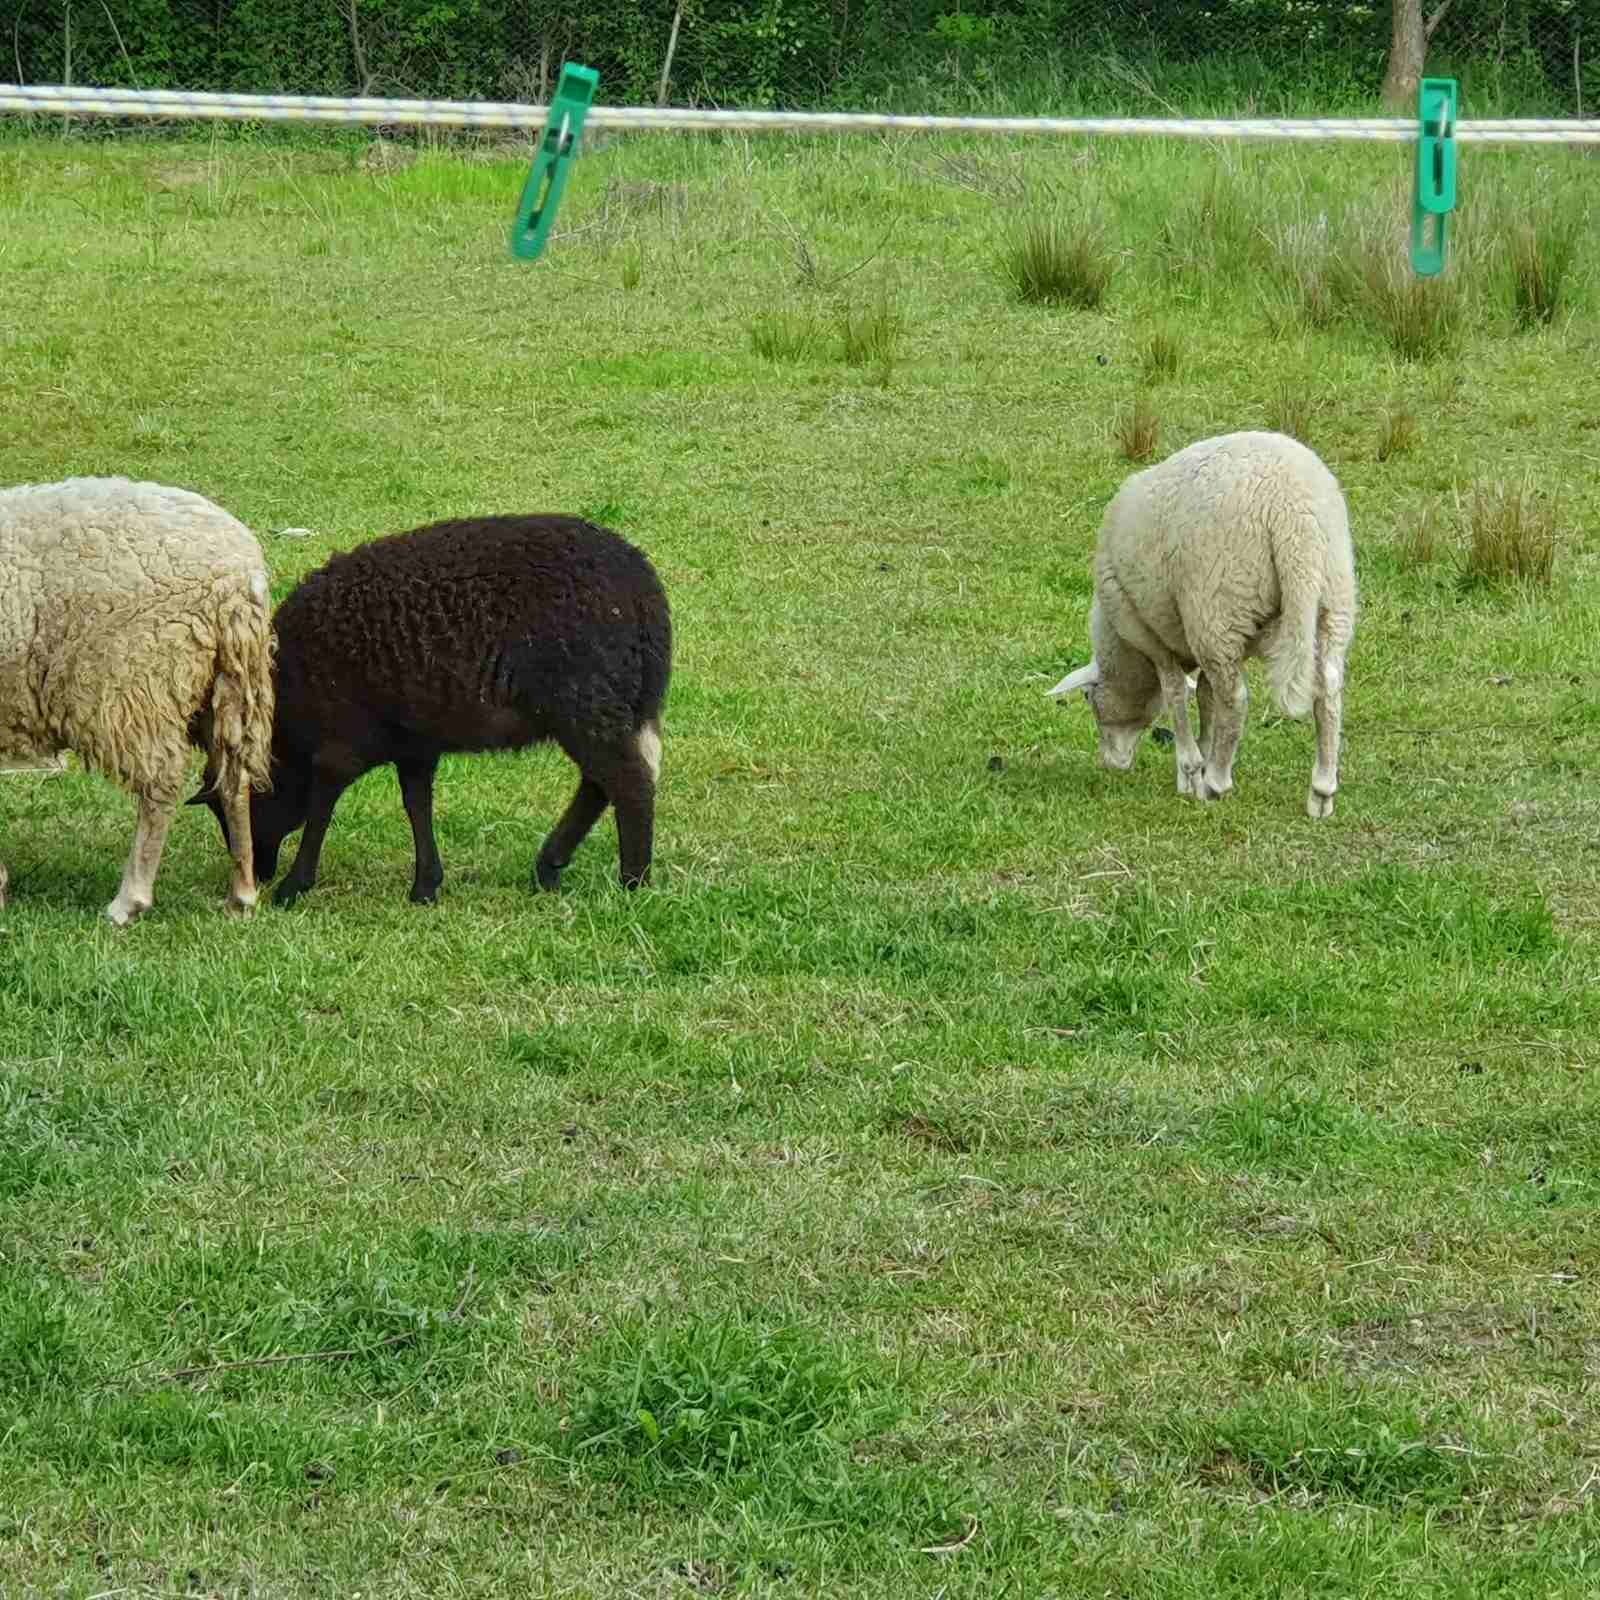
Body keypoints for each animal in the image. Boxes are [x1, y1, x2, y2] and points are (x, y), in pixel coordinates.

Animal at [0, 473, 275, 928]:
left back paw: (129, 899)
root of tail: (239, 574)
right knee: (233, 779)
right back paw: (242, 893)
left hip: (134, 680)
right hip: (222, 687)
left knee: (161, 781)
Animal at [190, 515, 672, 915]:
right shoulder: (413, 742)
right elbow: (417, 804)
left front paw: (295, 885)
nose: (260, 874)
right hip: (604, 707)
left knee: (628, 782)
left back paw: (633, 882)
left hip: (586, 703)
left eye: (237, 810)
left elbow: (322, 804)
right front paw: (426, 885)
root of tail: (645, 593)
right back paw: (551, 866)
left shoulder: (341, 743)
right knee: (600, 783)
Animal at [1043, 432, 1356, 819]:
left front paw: (1192, 770)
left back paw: (1218, 782)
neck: (1125, 650)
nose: (1112, 764)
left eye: (1089, 696)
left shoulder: (1151, 637)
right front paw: (1204, 755)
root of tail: (1294, 515)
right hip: (1333, 598)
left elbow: (1177, 694)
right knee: (1328, 688)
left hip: (1218, 605)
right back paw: (1322, 791)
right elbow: (1206, 695)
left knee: (1236, 699)